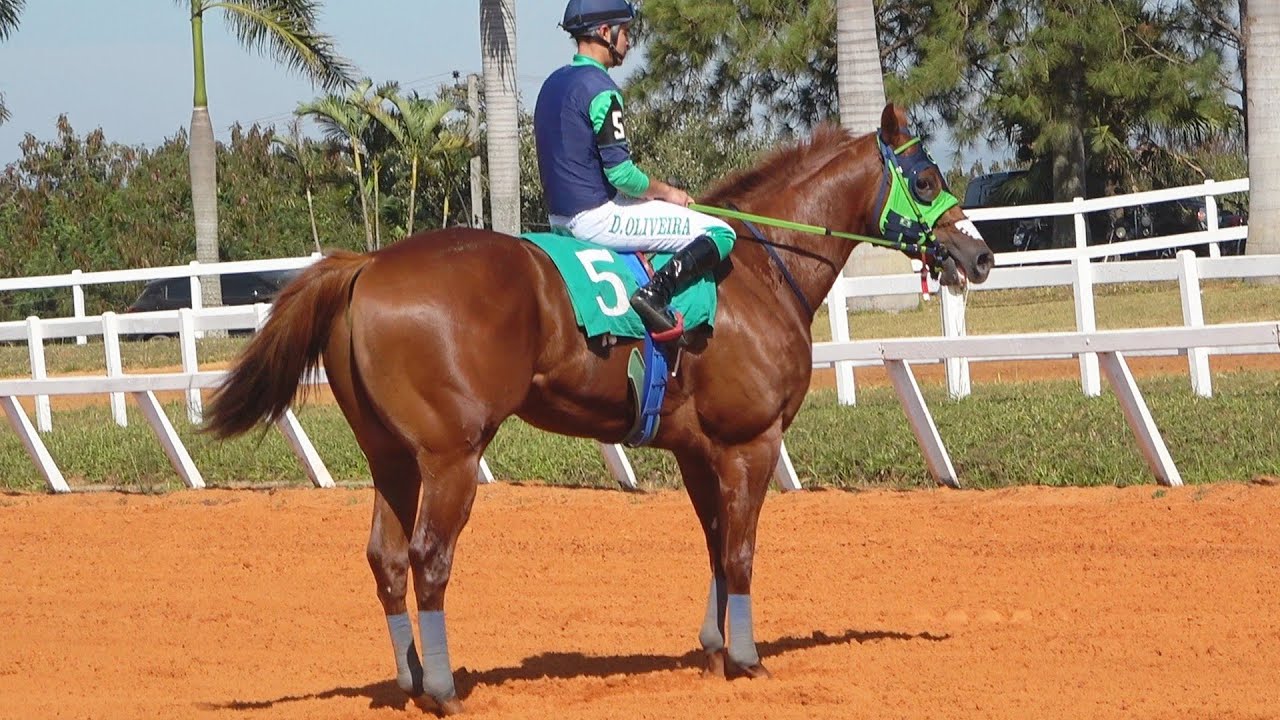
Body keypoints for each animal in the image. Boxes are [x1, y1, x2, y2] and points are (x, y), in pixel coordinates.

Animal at [203, 103, 994, 715]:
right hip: (451, 456)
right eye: (927, 179)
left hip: (390, 458)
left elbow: (714, 544)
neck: (756, 271)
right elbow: (740, 550)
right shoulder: (752, 441)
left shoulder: (698, 449)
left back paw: (411, 682)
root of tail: (368, 263)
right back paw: (446, 690)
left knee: (388, 559)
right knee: (429, 558)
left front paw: (713, 650)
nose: (979, 256)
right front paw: (747, 659)